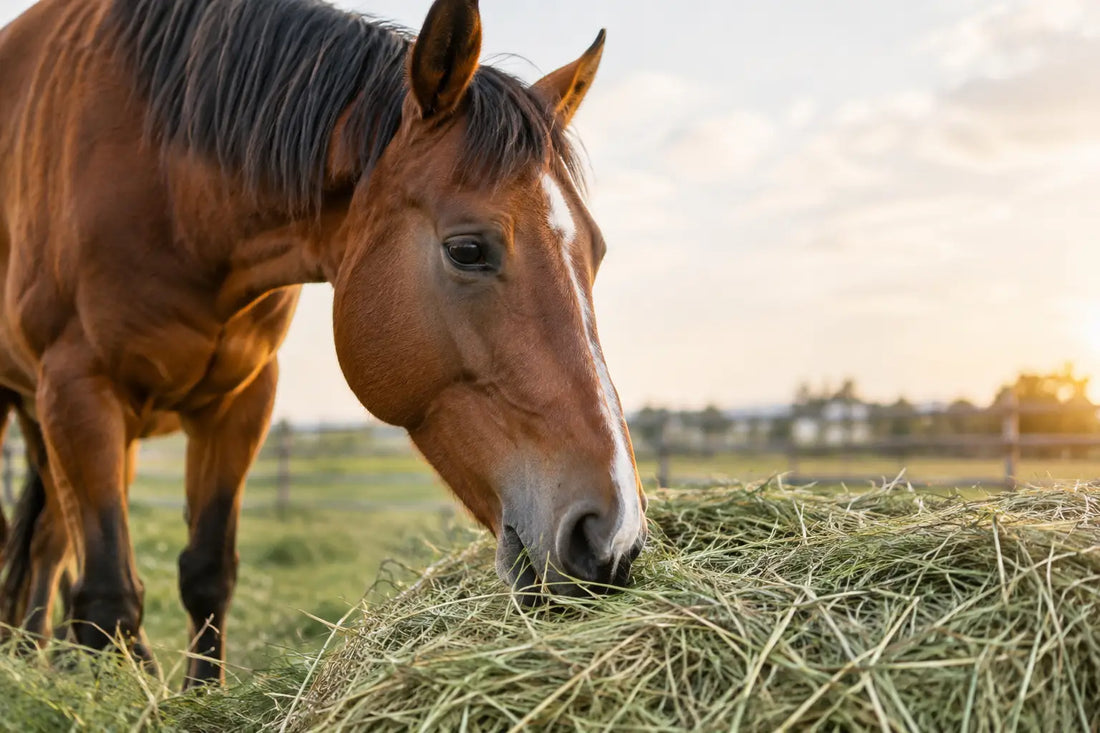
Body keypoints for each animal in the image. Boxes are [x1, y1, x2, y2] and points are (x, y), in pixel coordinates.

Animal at [0, 0, 647, 686]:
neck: (167, 186)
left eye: (597, 252)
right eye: (468, 249)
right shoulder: (81, 390)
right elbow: (108, 597)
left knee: (47, 542)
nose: (613, 537)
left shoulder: (242, 400)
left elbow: (206, 573)